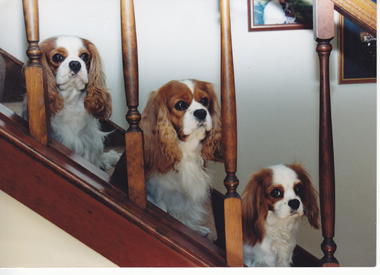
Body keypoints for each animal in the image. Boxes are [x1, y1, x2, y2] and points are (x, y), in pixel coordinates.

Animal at [21, 36, 119, 170]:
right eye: (57, 57)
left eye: (84, 56)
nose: (75, 64)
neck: (70, 98)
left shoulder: (88, 140)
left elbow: (89, 160)